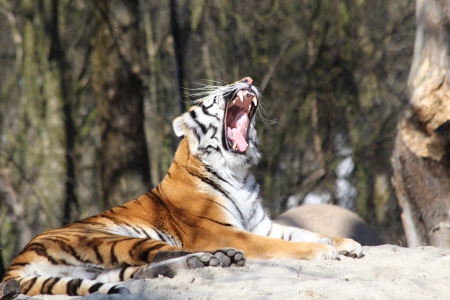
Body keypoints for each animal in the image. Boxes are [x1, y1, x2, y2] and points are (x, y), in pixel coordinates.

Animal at [0, 77, 362, 298]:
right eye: (214, 95)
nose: (246, 80)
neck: (239, 173)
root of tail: (14, 265)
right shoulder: (223, 230)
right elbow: (282, 245)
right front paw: (320, 251)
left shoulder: (263, 225)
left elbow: (306, 232)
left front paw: (348, 243)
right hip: (109, 238)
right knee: (164, 252)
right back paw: (217, 257)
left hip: (102, 271)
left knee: (141, 271)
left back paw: (211, 262)